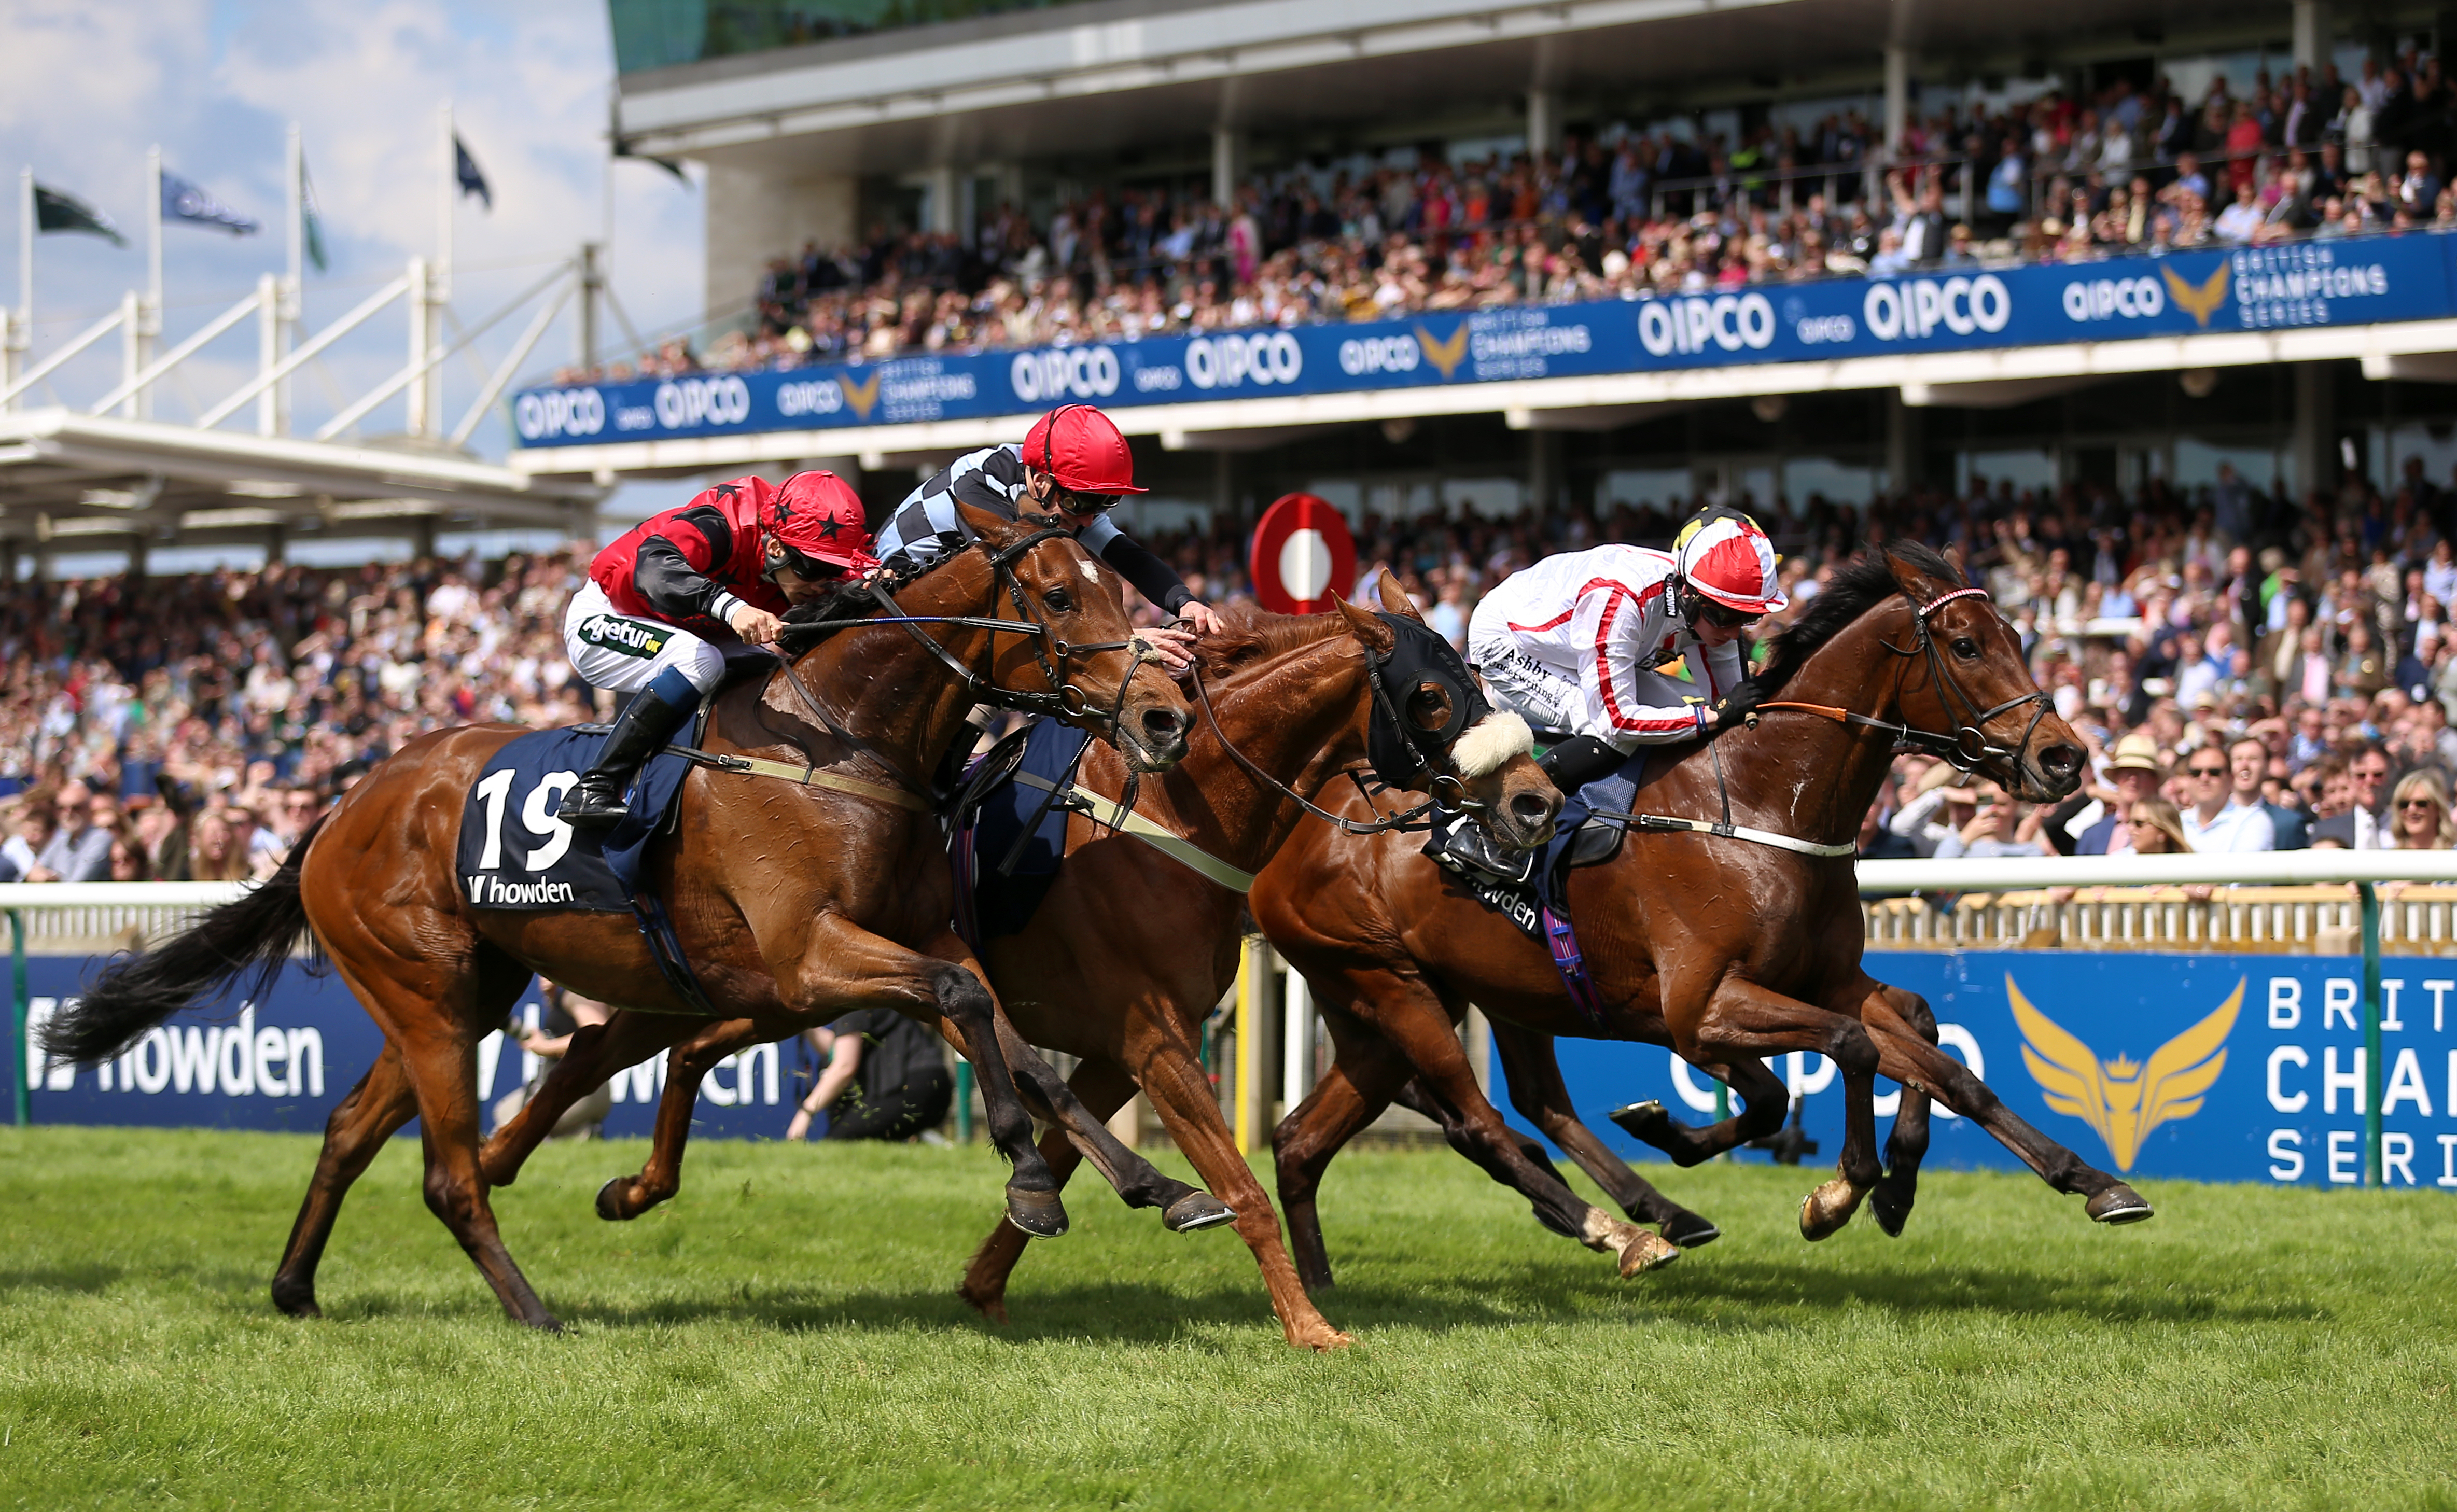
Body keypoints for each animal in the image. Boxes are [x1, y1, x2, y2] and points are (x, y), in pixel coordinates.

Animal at [50, 509, 1209, 1327]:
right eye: (1056, 595)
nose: (1163, 716)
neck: (841, 742)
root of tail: (342, 809)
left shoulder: (912, 938)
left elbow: (1022, 1049)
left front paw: (1152, 1182)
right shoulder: (809, 957)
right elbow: (971, 1007)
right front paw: (1033, 1182)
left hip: (458, 994)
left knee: (348, 1129)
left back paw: (296, 1288)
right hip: (424, 993)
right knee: (448, 1174)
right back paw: (532, 1310)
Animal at [479, 578, 1562, 1347]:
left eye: (1479, 678)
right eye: (1433, 695)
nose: (1535, 801)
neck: (1166, 812)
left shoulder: (1116, 1049)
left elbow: (1062, 1141)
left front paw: (992, 1276)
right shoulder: (1153, 1038)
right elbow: (1238, 1186)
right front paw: (1310, 1327)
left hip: (776, 985)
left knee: (658, 1048)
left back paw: (582, 1179)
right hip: (788, 972)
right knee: (631, 1047)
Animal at [1258, 541, 2142, 1288]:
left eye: (2018, 636)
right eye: (1964, 646)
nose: (2063, 757)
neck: (1759, 805)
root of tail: (1300, 821)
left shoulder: (1821, 980)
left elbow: (1932, 1049)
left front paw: (2081, 1182)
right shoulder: (1702, 1006)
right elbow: (1847, 1052)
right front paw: (1839, 1193)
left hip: (1446, 999)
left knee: (1343, 1132)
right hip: (1392, 985)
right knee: (1476, 1120)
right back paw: (1629, 1227)